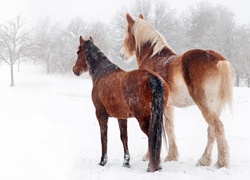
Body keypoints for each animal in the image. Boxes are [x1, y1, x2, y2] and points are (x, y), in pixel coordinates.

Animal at [73, 36, 169, 172]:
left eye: (78, 52)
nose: (75, 70)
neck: (103, 73)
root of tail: (152, 78)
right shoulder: (122, 117)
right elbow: (124, 138)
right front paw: (126, 162)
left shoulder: (101, 114)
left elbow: (104, 136)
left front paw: (103, 161)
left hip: (143, 119)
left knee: (152, 138)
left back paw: (151, 166)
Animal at [120, 13, 235, 168]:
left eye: (127, 32)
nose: (122, 54)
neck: (153, 57)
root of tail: (219, 60)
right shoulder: (168, 106)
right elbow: (170, 128)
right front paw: (171, 156)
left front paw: (149, 156)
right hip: (215, 106)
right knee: (211, 130)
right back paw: (204, 160)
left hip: (205, 105)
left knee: (217, 127)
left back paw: (221, 163)